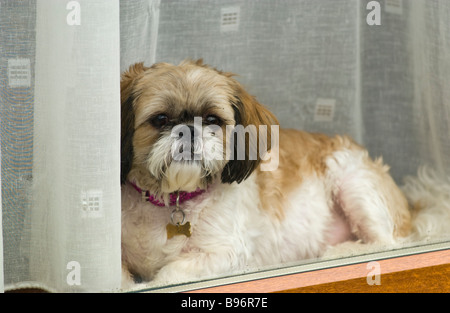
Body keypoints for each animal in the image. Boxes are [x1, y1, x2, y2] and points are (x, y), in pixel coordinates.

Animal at [119, 59, 412, 286]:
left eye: (213, 120)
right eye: (160, 119)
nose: (190, 130)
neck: (172, 200)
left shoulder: (224, 254)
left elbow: (170, 273)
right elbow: (123, 277)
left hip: (353, 182)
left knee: (387, 243)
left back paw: (339, 252)